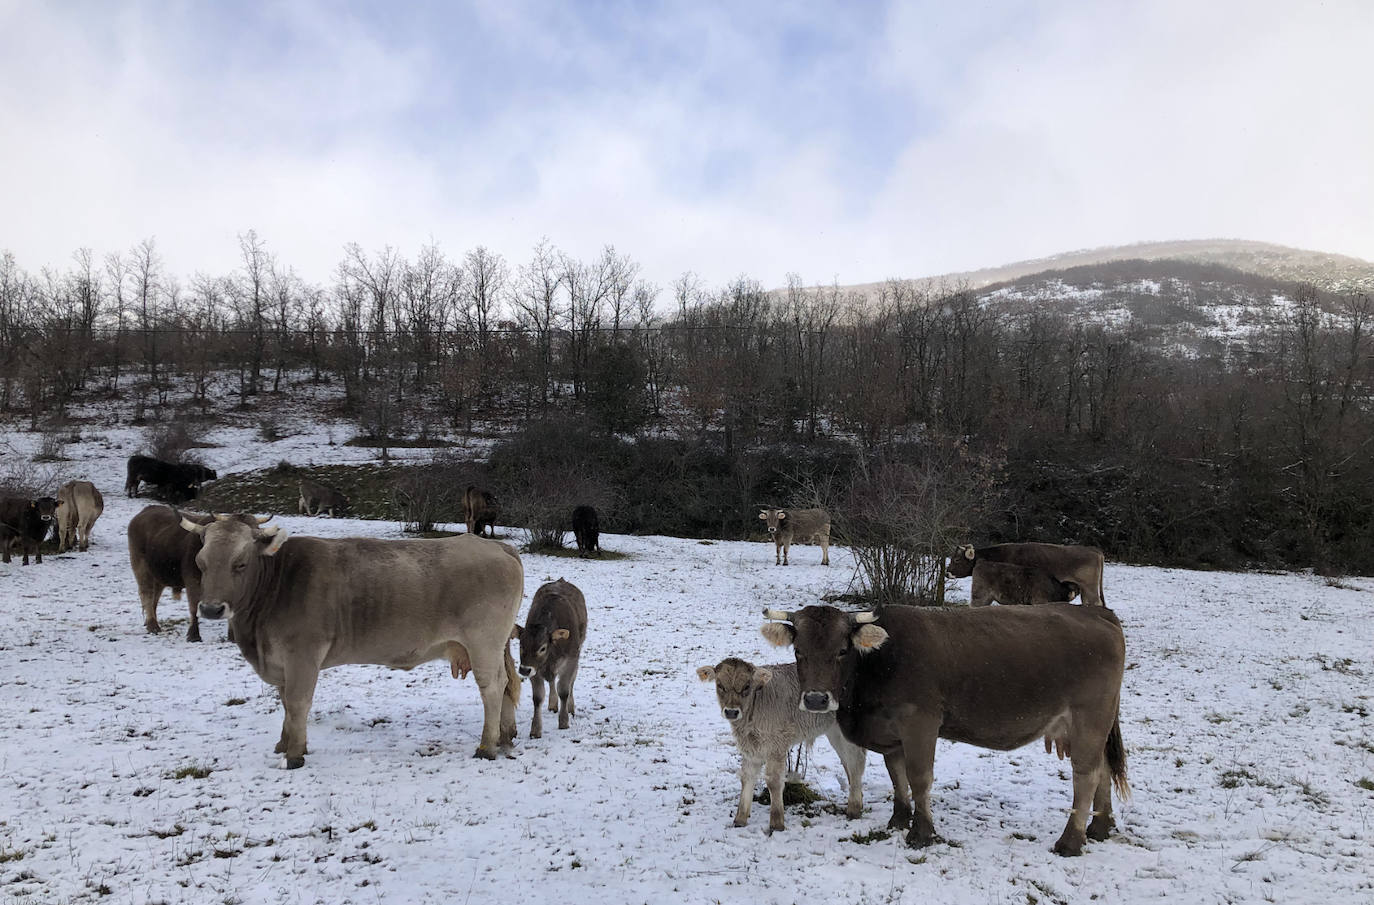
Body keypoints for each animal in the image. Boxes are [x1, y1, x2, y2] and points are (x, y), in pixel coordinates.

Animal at [127, 502, 263, 645]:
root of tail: (146, 510)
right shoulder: (192, 581)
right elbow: (193, 607)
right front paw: (193, 635)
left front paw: (232, 637)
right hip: (141, 567)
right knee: (146, 594)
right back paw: (153, 626)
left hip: (158, 574)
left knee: (155, 597)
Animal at [179, 516, 522, 763]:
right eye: (201, 563)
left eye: (240, 563)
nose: (211, 609)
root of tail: (497, 547)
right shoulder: (280, 663)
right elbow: (285, 702)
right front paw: (282, 743)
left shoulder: (302, 655)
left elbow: (297, 702)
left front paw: (295, 754)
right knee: (506, 684)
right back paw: (505, 736)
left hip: (483, 643)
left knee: (492, 687)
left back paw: (487, 747)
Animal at [697, 653, 868, 829]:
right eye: (720, 685)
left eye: (747, 686)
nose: (731, 712)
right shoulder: (751, 749)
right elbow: (747, 777)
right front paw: (740, 819)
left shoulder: (776, 745)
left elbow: (774, 781)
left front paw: (777, 822)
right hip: (834, 731)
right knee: (847, 761)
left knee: (856, 761)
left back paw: (854, 808)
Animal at [763, 604, 1126, 862]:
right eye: (798, 651)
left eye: (841, 650)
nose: (816, 699)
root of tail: (1095, 611)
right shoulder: (891, 733)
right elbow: (897, 775)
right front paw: (899, 819)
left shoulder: (920, 722)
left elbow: (919, 777)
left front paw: (921, 833)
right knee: (1104, 769)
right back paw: (1099, 827)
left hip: (1088, 718)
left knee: (1086, 775)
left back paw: (1071, 841)